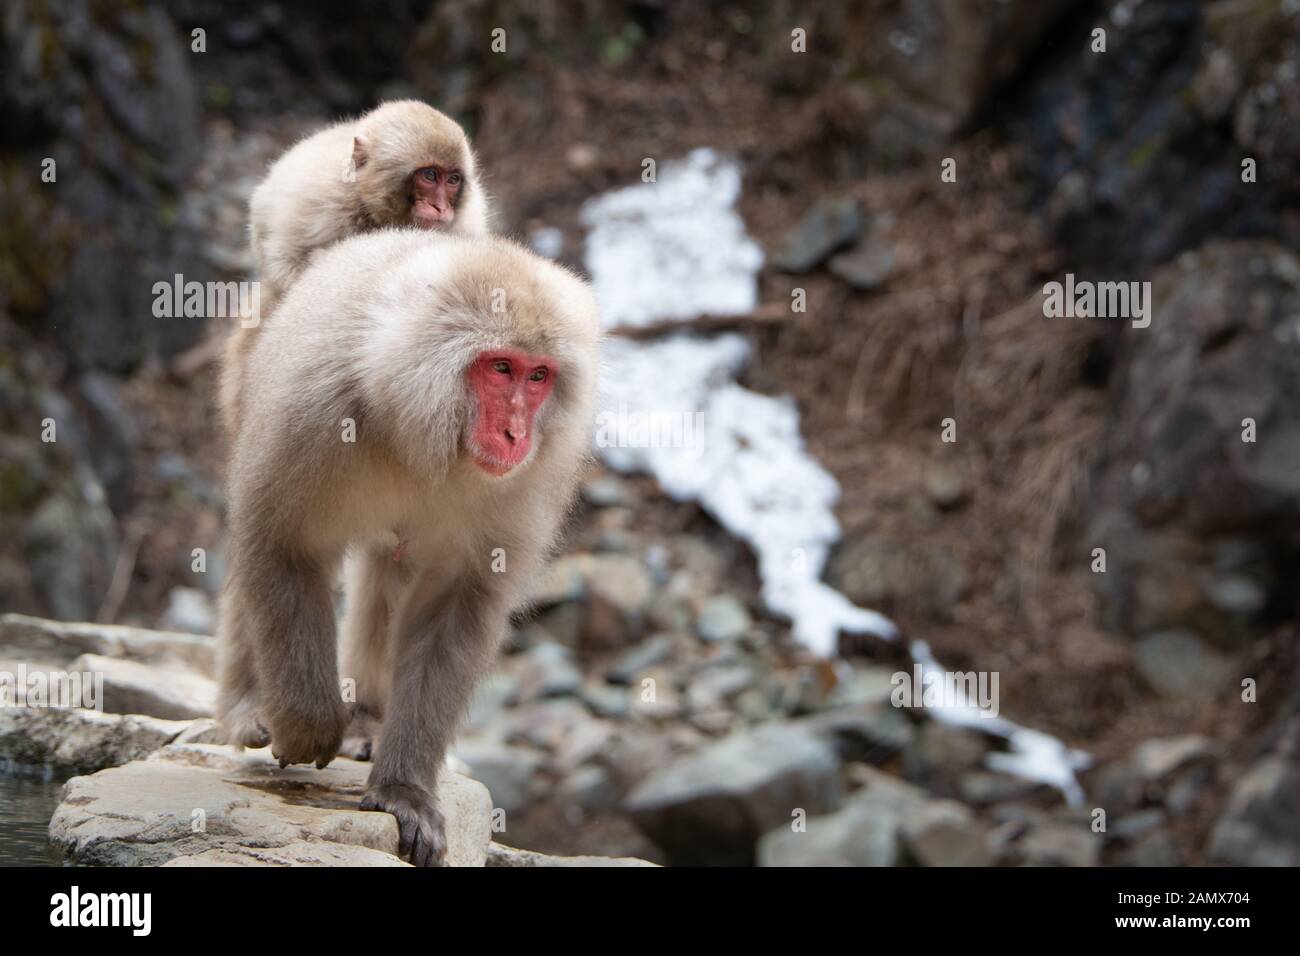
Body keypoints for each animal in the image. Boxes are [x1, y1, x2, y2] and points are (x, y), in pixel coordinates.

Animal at [215, 228, 600, 865]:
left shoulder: (526, 484)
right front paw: (307, 727)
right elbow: (279, 544)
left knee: (387, 567)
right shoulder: (312, 411)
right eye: (501, 367)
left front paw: (403, 791)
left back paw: (368, 721)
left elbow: (455, 606)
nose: (516, 434)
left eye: (539, 376)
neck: (413, 426)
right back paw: (248, 708)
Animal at [218, 100, 492, 442]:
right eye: (430, 175)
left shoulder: (462, 227)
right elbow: (284, 261)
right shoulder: (324, 201)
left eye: (453, 179)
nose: (441, 208)